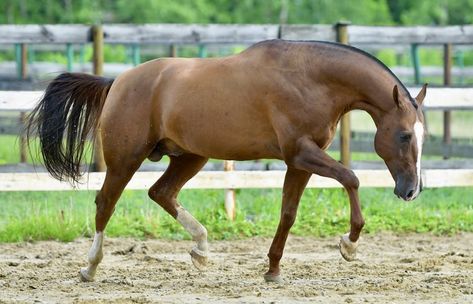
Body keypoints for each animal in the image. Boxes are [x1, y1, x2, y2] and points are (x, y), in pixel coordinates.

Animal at [24, 39, 428, 284]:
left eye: (422, 136)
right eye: (404, 135)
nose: (411, 191)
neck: (310, 78)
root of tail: (118, 80)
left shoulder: (298, 161)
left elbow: (288, 213)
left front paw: (273, 269)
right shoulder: (301, 152)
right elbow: (352, 178)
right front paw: (349, 245)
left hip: (191, 156)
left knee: (161, 193)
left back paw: (201, 250)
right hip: (126, 158)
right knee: (105, 203)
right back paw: (90, 267)